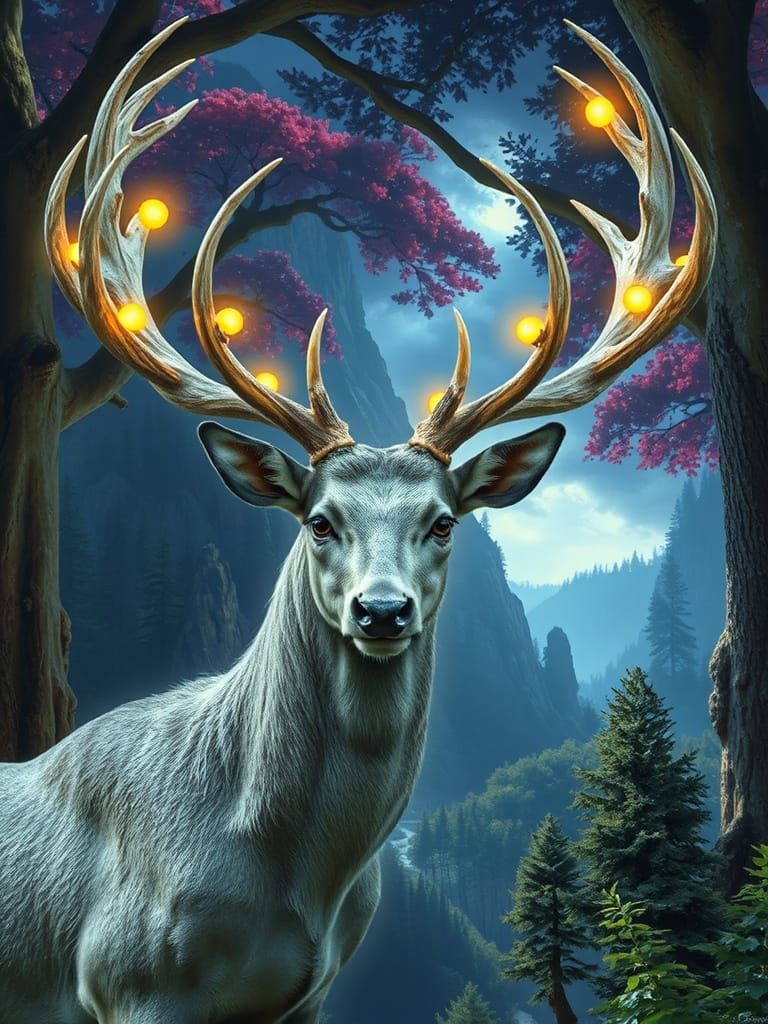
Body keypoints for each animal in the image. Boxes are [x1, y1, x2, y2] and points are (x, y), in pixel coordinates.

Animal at [0, 17, 715, 1024]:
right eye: (319, 521)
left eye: (445, 521)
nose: (382, 611)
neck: (293, 884)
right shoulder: (125, 978)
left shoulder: (314, 992)